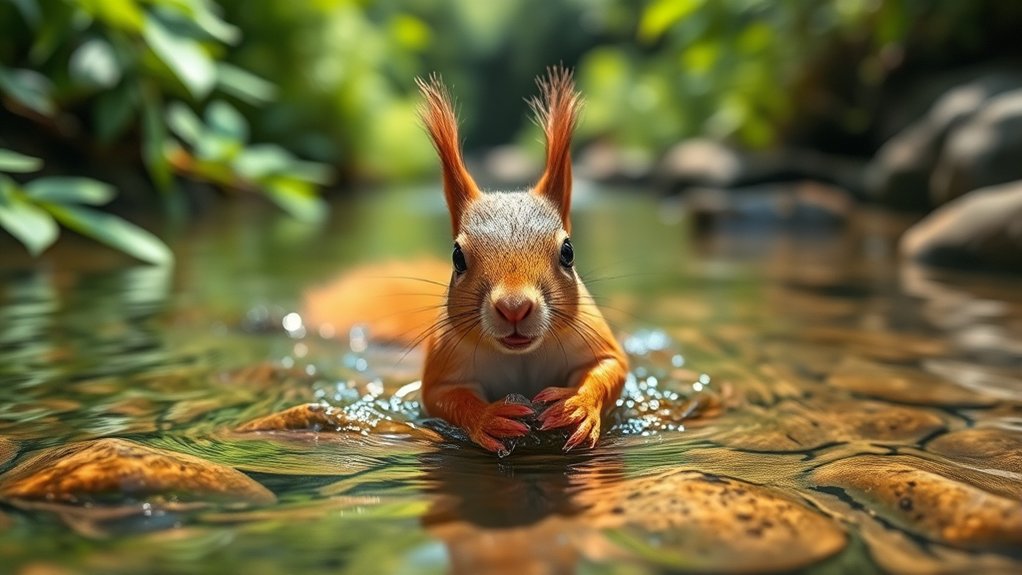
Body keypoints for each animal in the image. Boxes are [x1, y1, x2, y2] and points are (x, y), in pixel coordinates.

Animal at [414, 66, 629, 455]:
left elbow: (611, 368)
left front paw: (577, 405)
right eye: (457, 257)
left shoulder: (594, 336)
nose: (514, 307)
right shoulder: (444, 364)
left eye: (568, 252)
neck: (521, 355)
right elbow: (443, 396)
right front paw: (489, 417)